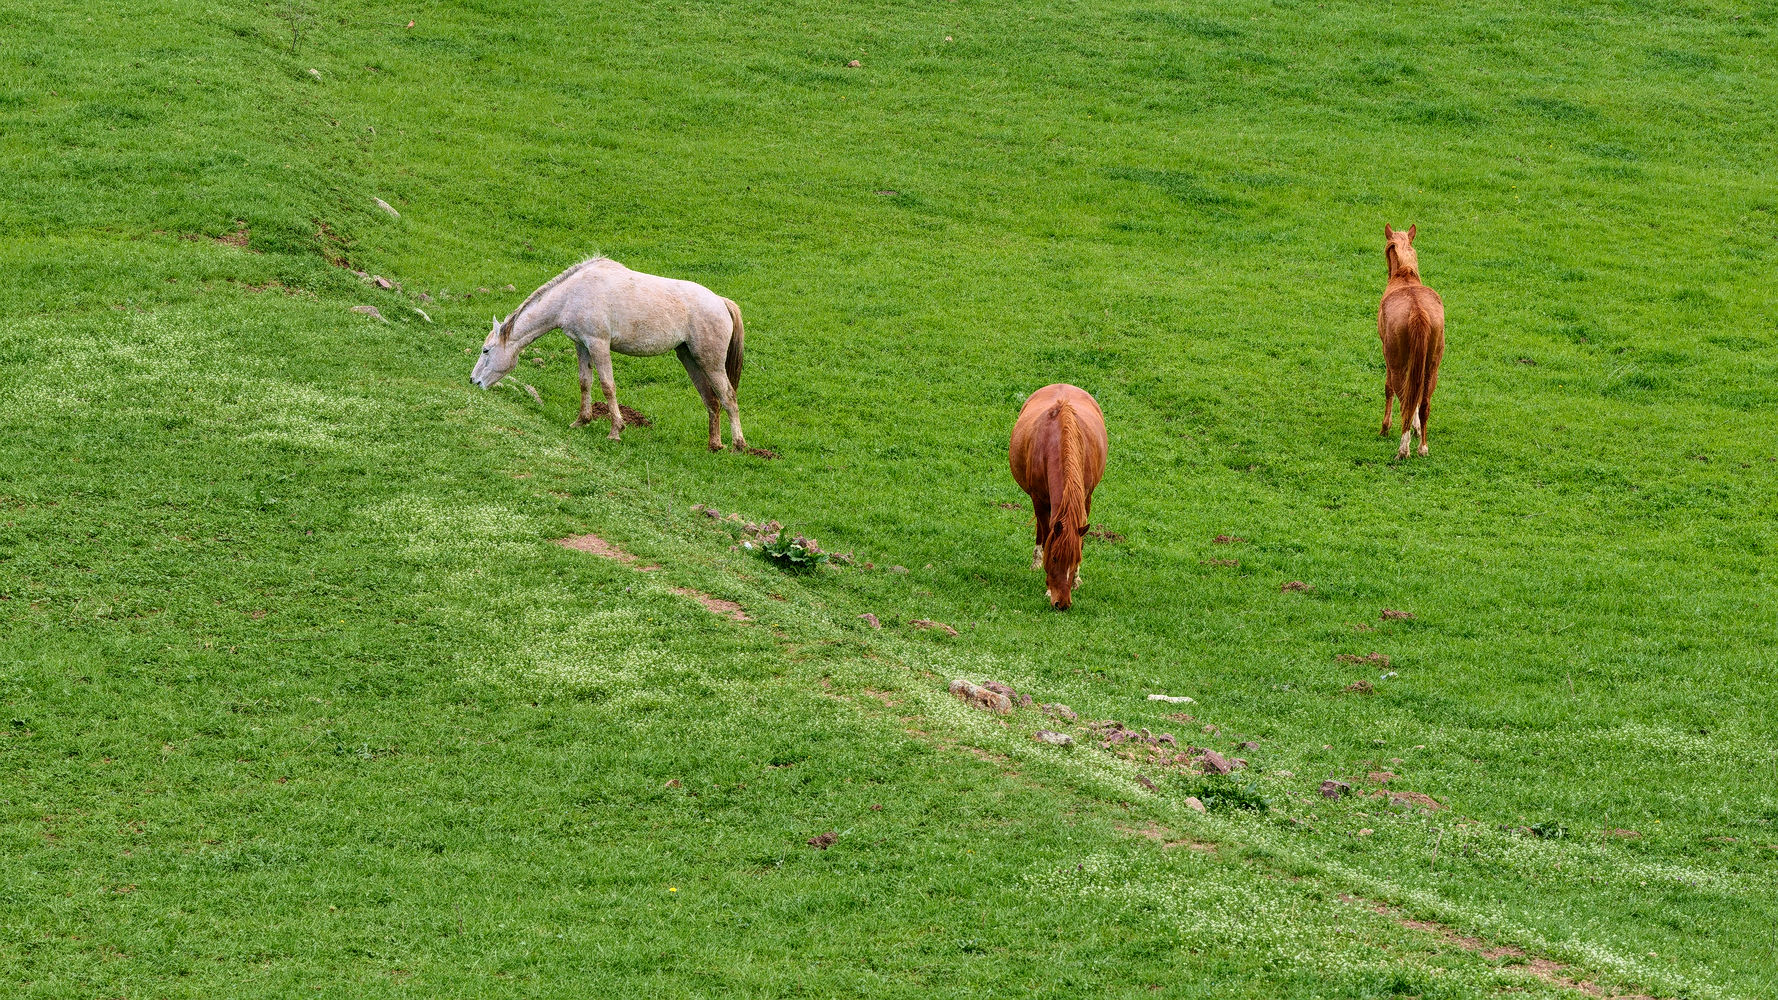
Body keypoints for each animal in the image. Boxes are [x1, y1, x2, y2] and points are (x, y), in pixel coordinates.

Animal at [465, 252, 743, 448]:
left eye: (486, 350)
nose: (473, 381)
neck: (573, 294)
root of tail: (721, 302)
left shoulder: (599, 344)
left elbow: (608, 386)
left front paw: (615, 431)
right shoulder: (582, 345)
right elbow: (585, 382)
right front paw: (581, 421)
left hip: (710, 362)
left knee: (728, 397)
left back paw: (738, 446)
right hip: (689, 358)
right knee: (711, 400)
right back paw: (714, 445)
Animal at [1009, 382, 1102, 608]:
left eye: (1075, 560)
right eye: (1054, 559)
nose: (1063, 604)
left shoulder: (1086, 498)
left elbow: (1080, 540)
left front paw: (1076, 579)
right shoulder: (1039, 499)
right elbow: (1046, 536)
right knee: (1041, 530)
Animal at [1372, 224, 1443, 459]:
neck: (1405, 277)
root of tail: (1418, 312)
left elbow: (1389, 390)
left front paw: (1385, 428)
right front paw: (1417, 428)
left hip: (1397, 363)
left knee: (1404, 399)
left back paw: (1403, 449)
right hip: (1432, 366)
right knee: (1423, 402)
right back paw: (1422, 448)